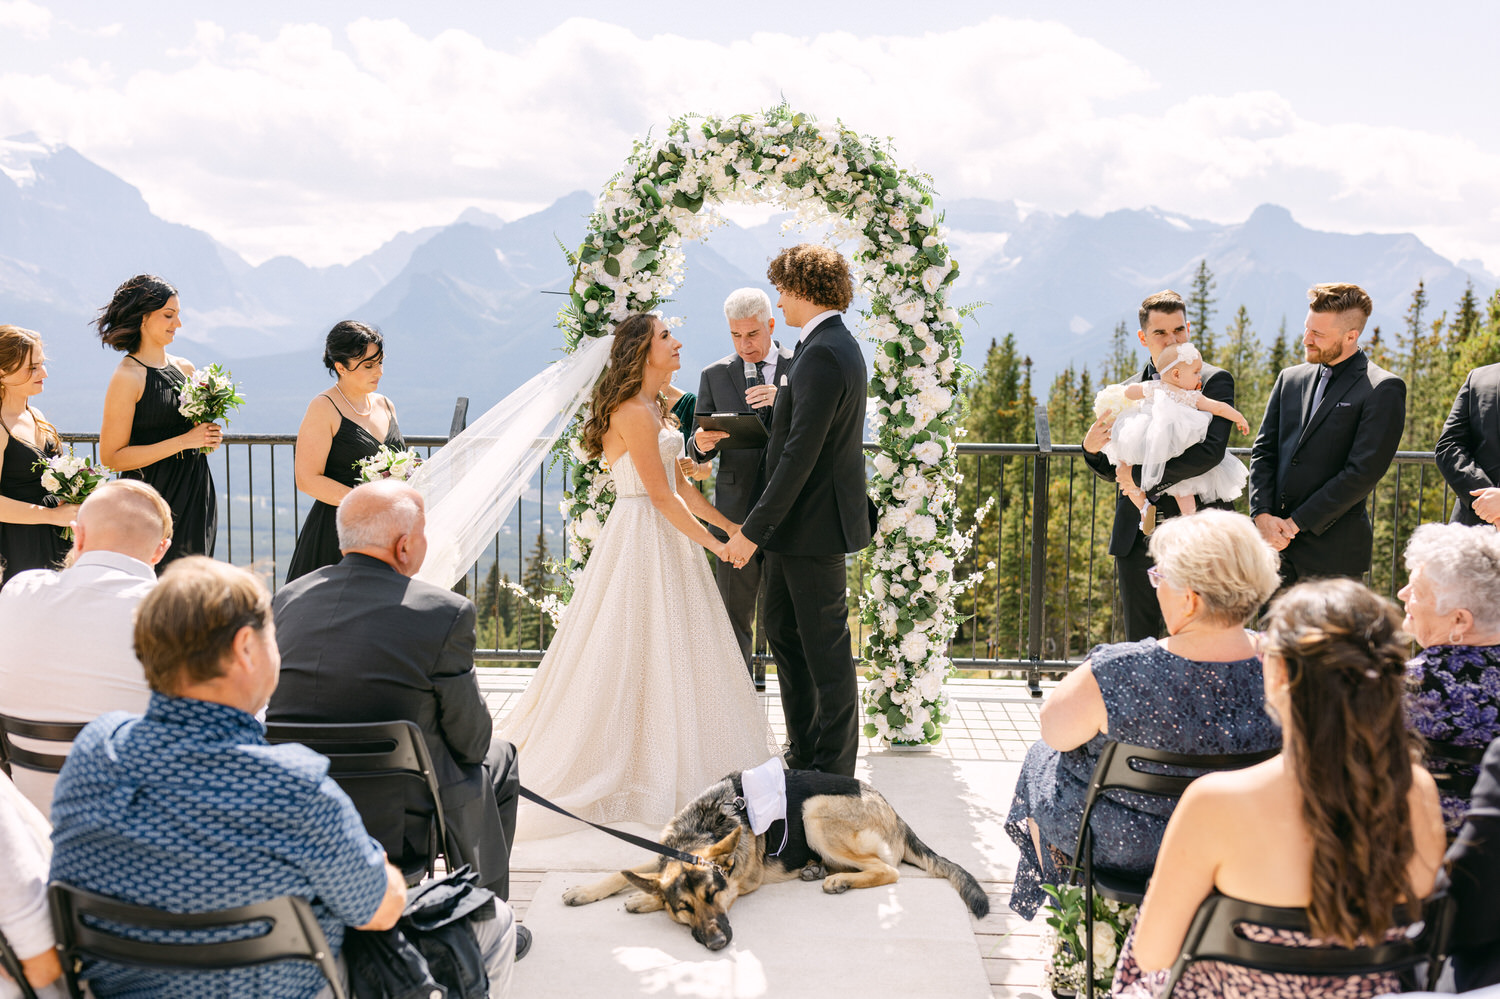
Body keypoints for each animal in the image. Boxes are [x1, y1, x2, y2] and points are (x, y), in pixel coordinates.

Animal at [561, 765, 984, 948]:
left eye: (713, 896)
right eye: (684, 908)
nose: (718, 944)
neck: (704, 827)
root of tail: (893, 811)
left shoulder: (742, 882)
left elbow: (645, 885)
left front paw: (642, 898)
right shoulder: (666, 849)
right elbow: (624, 871)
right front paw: (585, 891)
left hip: (814, 811)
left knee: (889, 871)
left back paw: (838, 880)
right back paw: (817, 870)